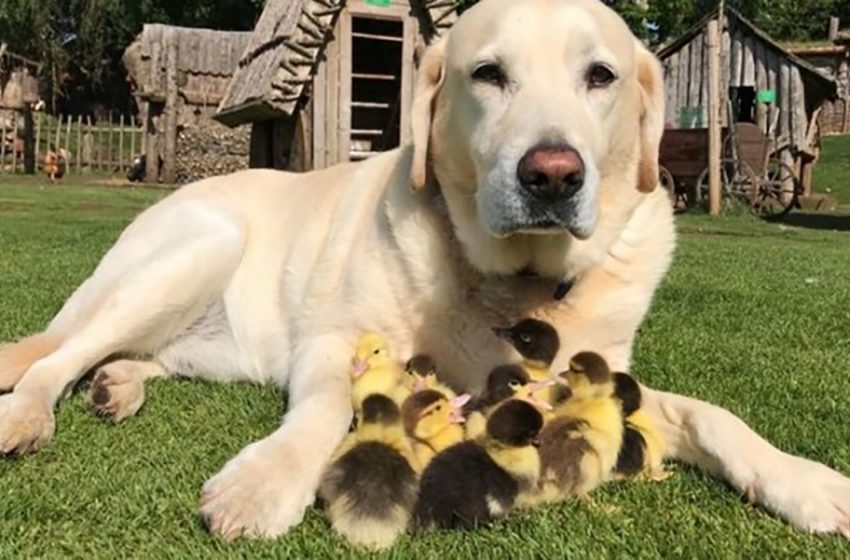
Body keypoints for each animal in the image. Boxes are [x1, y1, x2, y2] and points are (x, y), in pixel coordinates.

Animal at [0, 0, 844, 544]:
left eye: (600, 75)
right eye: (488, 74)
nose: (552, 175)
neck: (515, 283)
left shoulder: (602, 376)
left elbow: (713, 414)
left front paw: (809, 482)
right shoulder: (334, 339)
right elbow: (320, 412)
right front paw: (265, 481)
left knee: (135, 355)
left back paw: (120, 385)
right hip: (194, 251)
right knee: (58, 355)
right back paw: (30, 414)